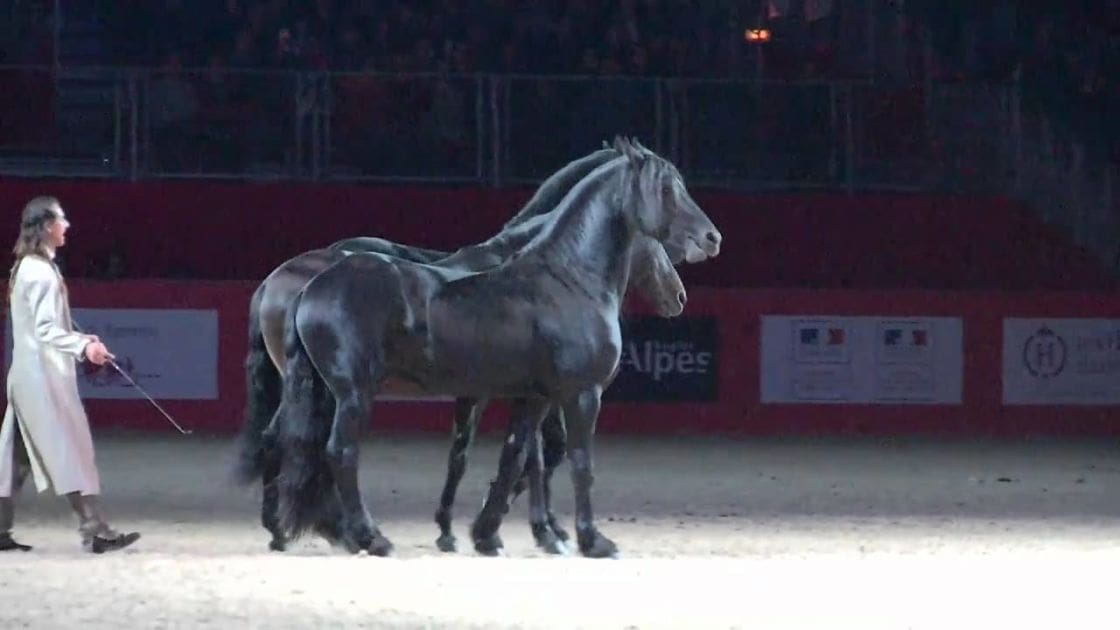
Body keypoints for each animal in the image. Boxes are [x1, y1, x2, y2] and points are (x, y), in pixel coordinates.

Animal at [235, 144, 706, 554]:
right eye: (667, 190)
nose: (710, 238)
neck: (565, 280)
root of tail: (306, 285)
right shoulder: (579, 394)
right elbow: (575, 461)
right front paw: (586, 540)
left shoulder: (531, 396)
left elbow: (514, 457)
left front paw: (488, 533)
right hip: (352, 394)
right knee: (339, 453)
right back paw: (367, 537)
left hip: (318, 391)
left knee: (290, 444)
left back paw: (307, 530)